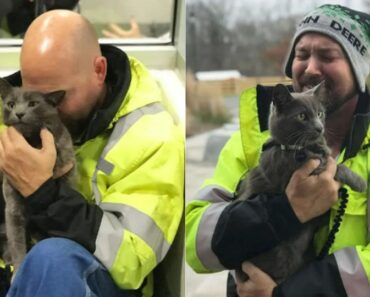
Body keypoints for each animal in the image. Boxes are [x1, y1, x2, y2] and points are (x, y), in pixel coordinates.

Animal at [0, 77, 75, 274]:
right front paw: (18, 269)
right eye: (10, 104)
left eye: (33, 104)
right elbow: (16, 241)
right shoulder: (12, 206)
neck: (32, 142)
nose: (19, 113)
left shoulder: (68, 173)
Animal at [238, 82, 366, 284]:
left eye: (320, 113)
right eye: (302, 116)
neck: (299, 148)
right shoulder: (297, 173)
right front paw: (360, 182)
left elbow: (331, 161)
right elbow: (336, 167)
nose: (319, 128)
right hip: (283, 255)